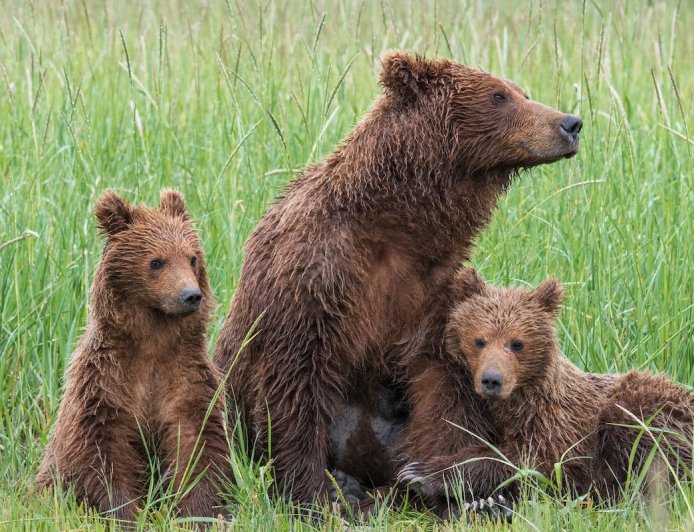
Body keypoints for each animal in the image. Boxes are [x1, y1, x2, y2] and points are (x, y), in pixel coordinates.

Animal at [35, 190, 230, 520]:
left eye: (192, 258)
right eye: (156, 261)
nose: (191, 295)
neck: (152, 343)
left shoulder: (186, 377)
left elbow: (198, 442)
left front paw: (199, 512)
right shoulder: (106, 382)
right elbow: (102, 450)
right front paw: (126, 511)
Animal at [212, 50, 582, 504]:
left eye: (522, 91)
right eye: (499, 95)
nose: (570, 123)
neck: (397, 227)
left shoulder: (431, 293)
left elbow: (441, 386)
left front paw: (439, 479)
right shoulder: (314, 276)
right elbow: (295, 381)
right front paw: (314, 493)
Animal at [399, 269, 693, 509]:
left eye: (517, 343)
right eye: (479, 340)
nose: (492, 380)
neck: (514, 403)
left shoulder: (559, 423)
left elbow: (536, 460)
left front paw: (425, 473)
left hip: (648, 407)